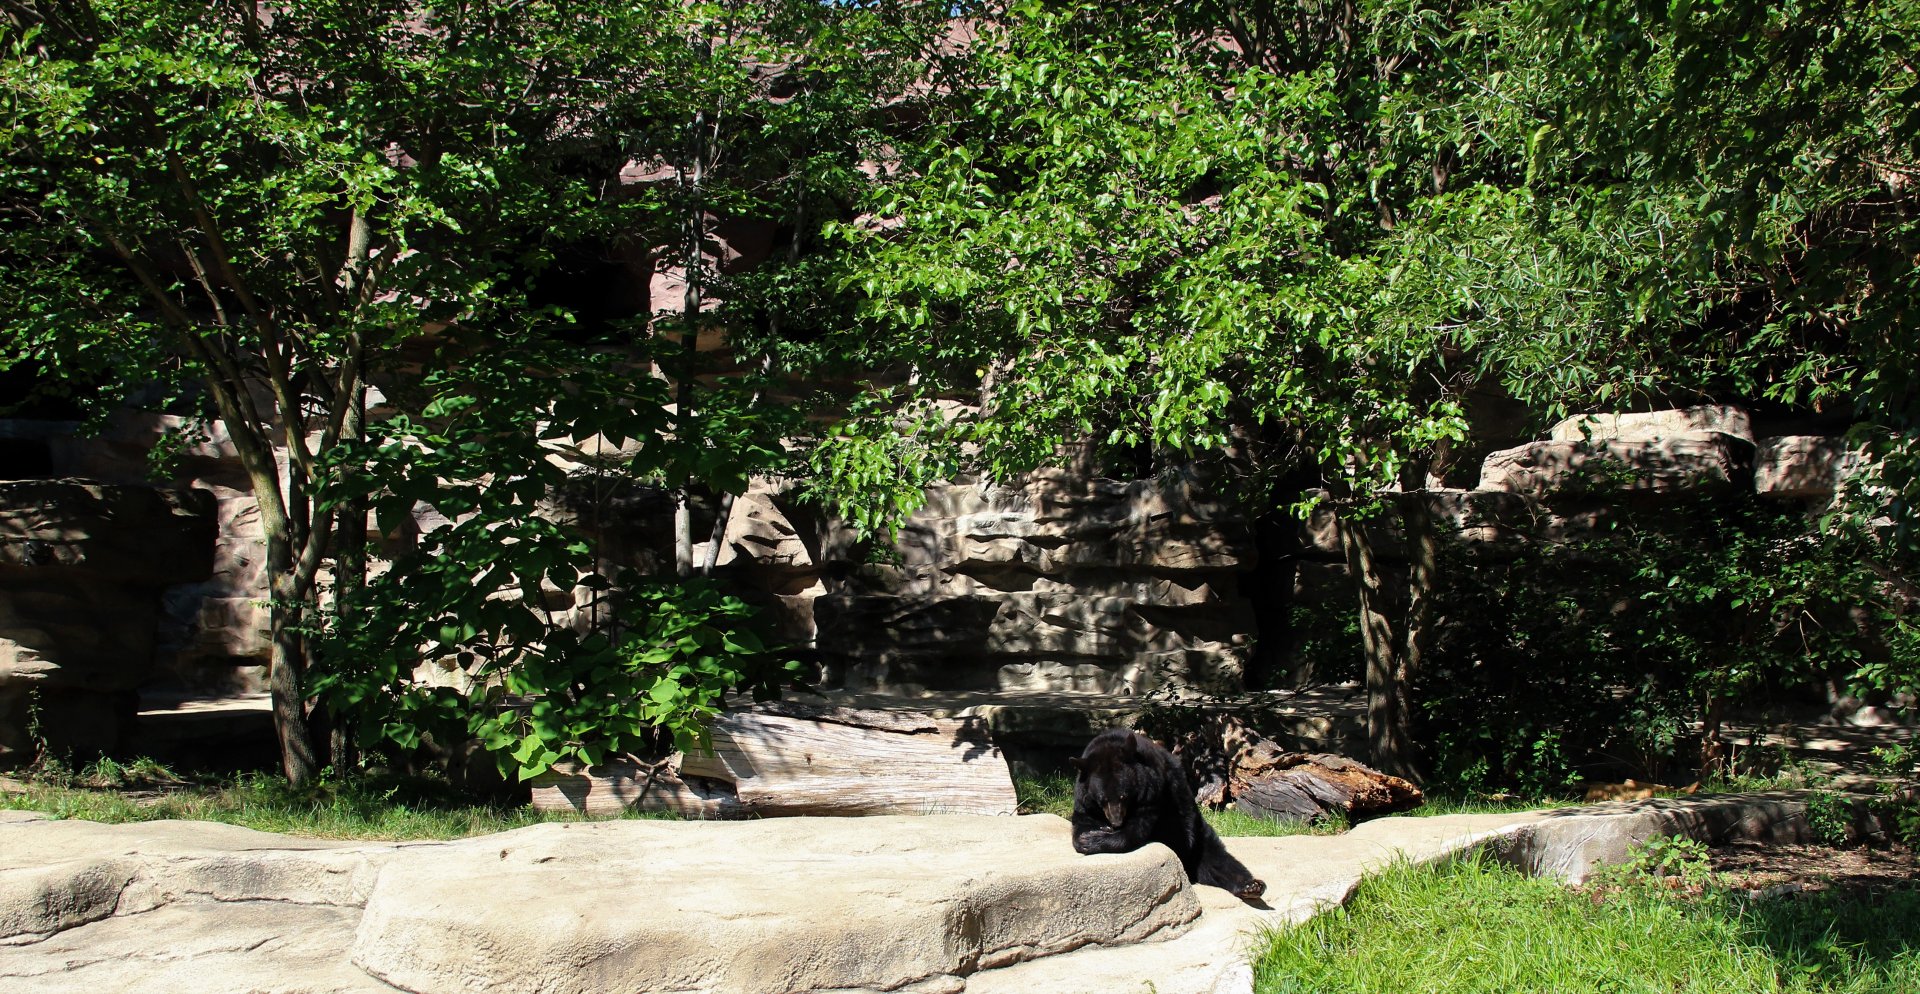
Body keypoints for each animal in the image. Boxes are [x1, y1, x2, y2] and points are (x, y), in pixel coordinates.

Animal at [1069, 727, 1266, 901]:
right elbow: (1082, 822)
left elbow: (1137, 829)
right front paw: (1088, 836)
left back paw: (1251, 886)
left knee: (1217, 859)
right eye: (1102, 800)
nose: (1116, 822)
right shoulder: (1084, 799)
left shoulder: (1153, 792)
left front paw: (1095, 838)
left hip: (1197, 834)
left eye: (1124, 796)